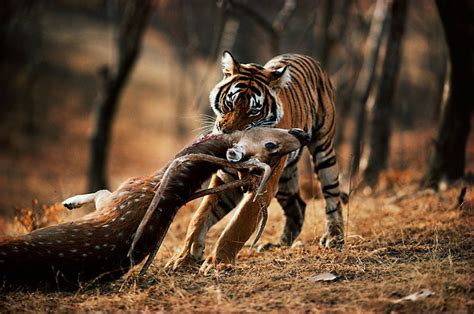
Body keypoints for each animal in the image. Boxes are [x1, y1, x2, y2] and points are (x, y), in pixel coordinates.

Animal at [0, 126, 310, 288]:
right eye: (272, 145)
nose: (303, 134)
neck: (163, 176)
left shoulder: (123, 190)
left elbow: (101, 191)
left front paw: (69, 202)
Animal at [165, 51, 342, 270]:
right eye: (229, 103)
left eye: (253, 112)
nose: (228, 133)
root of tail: (307, 57)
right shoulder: (226, 177)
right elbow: (200, 216)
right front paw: (185, 258)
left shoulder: (263, 183)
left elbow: (240, 222)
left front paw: (217, 263)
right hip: (284, 179)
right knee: (298, 205)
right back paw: (279, 244)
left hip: (323, 150)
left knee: (332, 195)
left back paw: (334, 237)